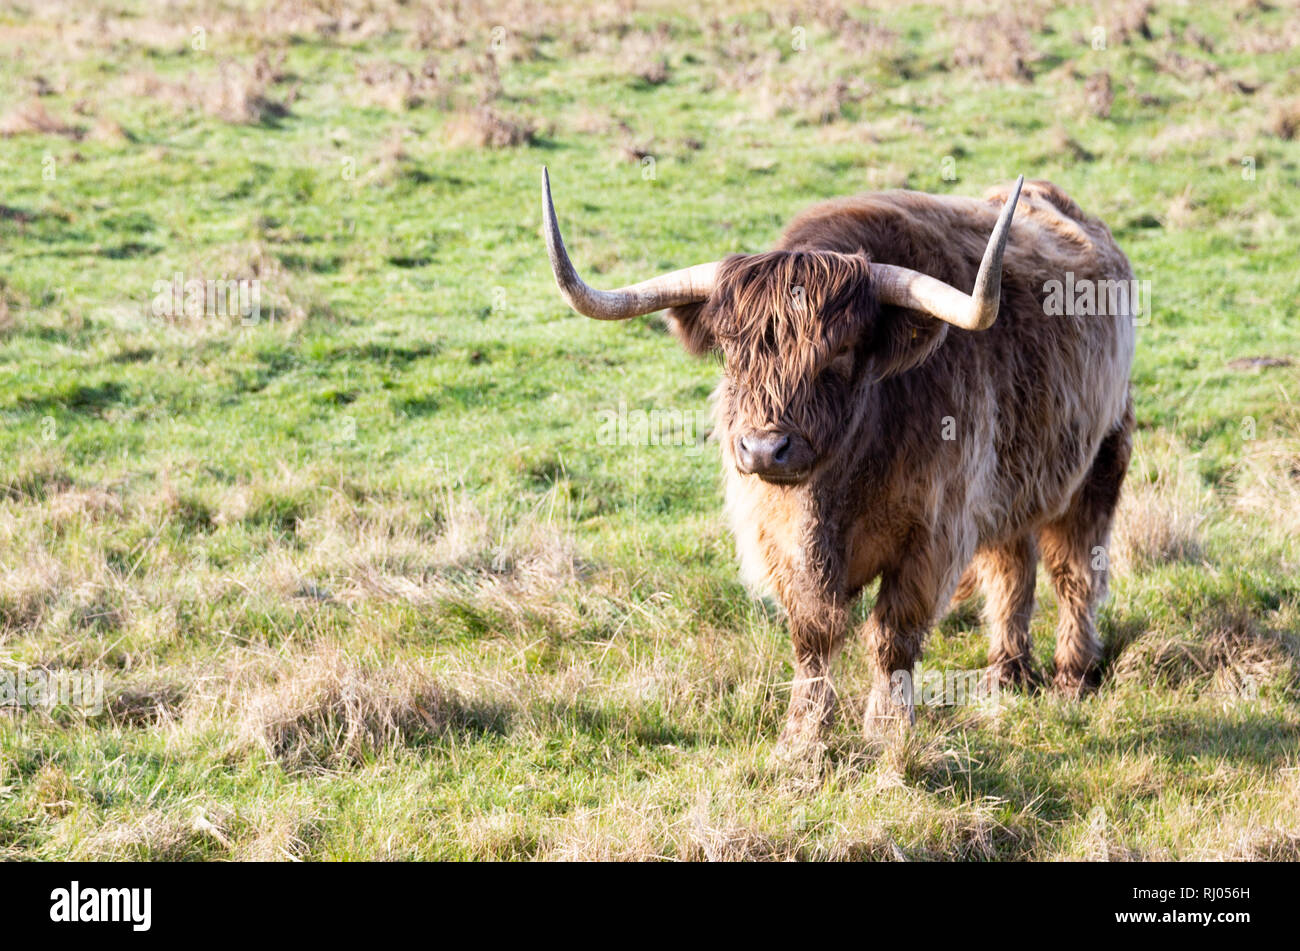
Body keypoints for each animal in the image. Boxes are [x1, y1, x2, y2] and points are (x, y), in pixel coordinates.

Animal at [543, 168, 1133, 748]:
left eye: (841, 353)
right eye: (731, 350)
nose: (765, 448)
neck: (837, 488)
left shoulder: (934, 534)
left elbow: (893, 637)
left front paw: (888, 730)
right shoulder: (780, 539)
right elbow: (813, 634)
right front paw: (803, 736)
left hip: (1101, 458)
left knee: (1075, 570)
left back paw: (1072, 675)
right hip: (1012, 485)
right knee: (1012, 567)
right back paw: (1005, 673)